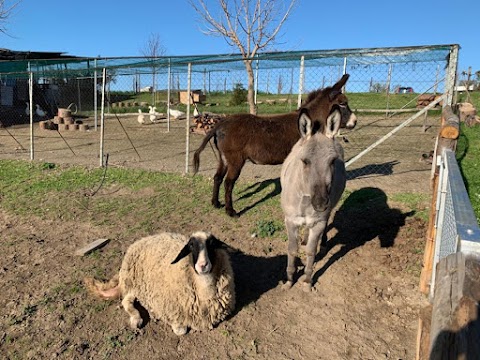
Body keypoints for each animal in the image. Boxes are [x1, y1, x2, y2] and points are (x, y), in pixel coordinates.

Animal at [86, 231, 238, 334]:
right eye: (191, 246)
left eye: (211, 244)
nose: (203, 265)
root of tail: (144, 238)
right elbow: (181, 330)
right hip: (132, 281)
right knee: (125, 300)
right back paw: (137, 319)